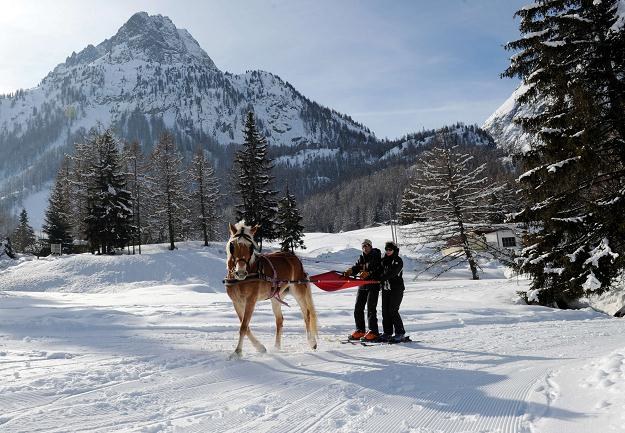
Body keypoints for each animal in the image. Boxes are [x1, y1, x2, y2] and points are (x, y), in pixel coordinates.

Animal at [224, 219, 316, 358]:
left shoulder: (251, 301)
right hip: (276, 297)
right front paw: (260, 347)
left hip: (298, 291)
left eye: (251, 247)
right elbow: (245, 326)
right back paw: (277, 347)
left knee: (307, 314)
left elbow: (244, 327)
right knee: (279, 320)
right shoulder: (237, 302)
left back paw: (312, 342)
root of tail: (295, 258)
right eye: (232, 246)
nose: (241, 272)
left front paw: (237, 352)